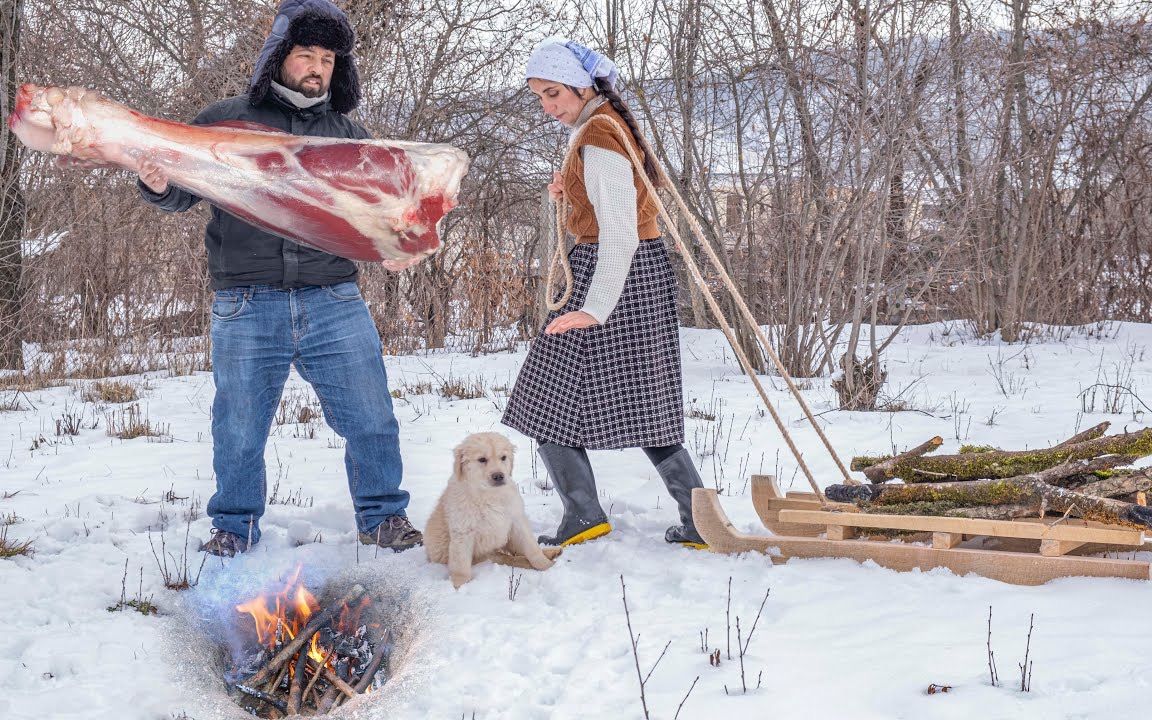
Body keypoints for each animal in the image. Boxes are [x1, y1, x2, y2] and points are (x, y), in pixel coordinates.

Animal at [428, 428, 562, 587]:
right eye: (482, 459)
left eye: (503, 457)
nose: (498, 476)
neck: (489, 495)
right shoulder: (463, 531)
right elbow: (460, 563)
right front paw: (460, 585)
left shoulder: (516, 521)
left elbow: (531, 547)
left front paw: (545, 566)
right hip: (488, 555)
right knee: (511, 558)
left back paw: (552, 552)